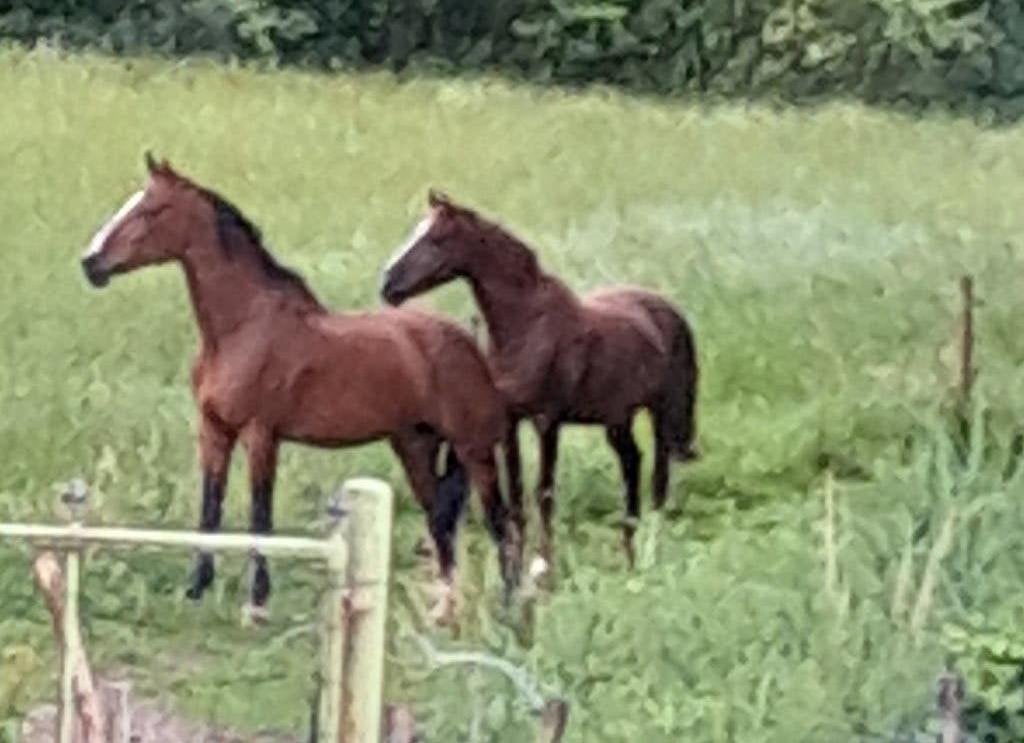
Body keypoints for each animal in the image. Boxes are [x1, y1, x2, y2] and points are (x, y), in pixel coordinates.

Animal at [79, 156, 520, 623]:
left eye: (150, 210)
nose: (91, 263)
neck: (240, 330)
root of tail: (467, 341)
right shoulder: (214, 431)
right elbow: (209, 510)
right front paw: (196, 590)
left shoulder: (260, 435)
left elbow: (260, 518)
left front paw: (256, 603)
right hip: (414, 445)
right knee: (439, 519)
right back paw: (443, 609)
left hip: (474, 449)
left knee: (499, 522)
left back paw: (509, 607)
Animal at [380, 190, 699, 576]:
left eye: (437, 239)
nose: (388, 285)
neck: (527, 326)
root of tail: (668, 310)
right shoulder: (510, 423)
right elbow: (516, 497)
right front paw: (518, 568)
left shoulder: (547, 421)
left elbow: (543, 494)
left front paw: (546, 570)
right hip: (617, 419)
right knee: (632, 464)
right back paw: (628, 552)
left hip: (661, 413)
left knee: (658, 481)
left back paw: (649, 551)